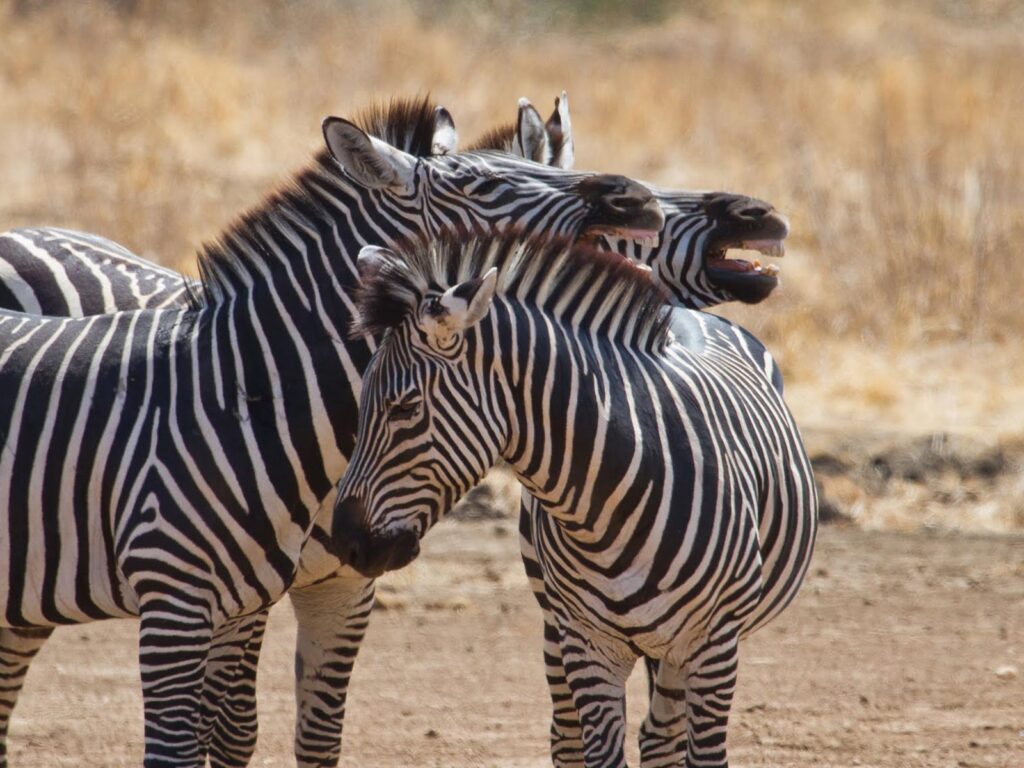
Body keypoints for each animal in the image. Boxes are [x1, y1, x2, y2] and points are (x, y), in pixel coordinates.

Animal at [331, 233, 819, 768]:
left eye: (405, 407)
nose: (345, 540)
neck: (609, 498)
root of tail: (685, 310)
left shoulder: (713, 645)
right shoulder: (588, 644)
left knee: (661, 736)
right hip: (555, 619)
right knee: (574, 738)